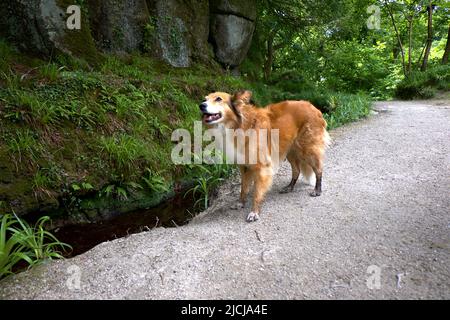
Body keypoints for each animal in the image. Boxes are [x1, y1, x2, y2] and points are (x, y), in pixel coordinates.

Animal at [199, 89, 328, 220]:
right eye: (205, 99)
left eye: (218, 99)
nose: (201, 105)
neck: (240, 125)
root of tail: (313, 107)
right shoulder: (244, 166)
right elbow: (243, 188)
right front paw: (241, 203)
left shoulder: (262, 167)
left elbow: (257, 192)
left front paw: (254, 212)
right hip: (290, 151)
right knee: (296, 170)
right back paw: (289, 187)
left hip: (308, 150)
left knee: (318, 170)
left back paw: (317, 190)